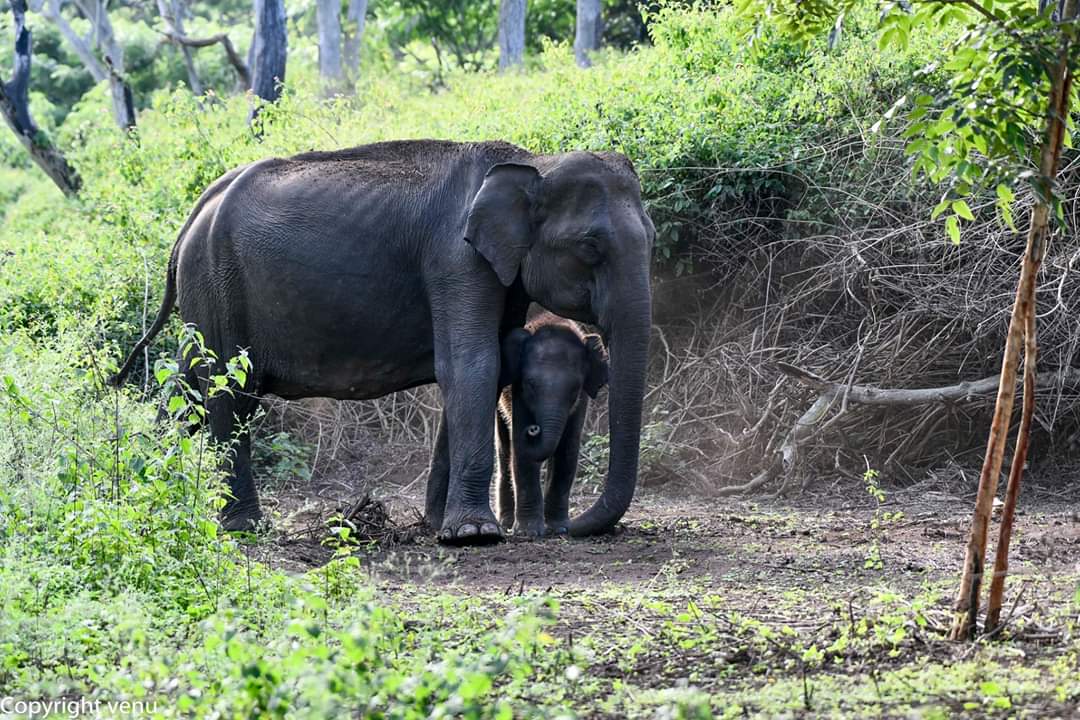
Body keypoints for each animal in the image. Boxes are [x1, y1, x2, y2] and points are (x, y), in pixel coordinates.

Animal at [496, 313, 609, 537]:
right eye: (530, 384)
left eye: (575, 388)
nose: (533, 429)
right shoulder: (517, 392)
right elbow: (521, 451)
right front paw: (529, 532)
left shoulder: (582, 399)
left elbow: (568, 448)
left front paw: (559, 528)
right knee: (505, 449)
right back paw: (506, 523)